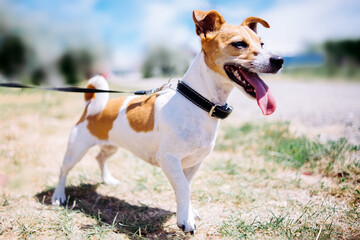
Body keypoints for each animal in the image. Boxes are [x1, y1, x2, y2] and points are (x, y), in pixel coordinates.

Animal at [52, 10, 284, 233]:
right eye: (239, 44)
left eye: (262, 44)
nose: (279, 60)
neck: (198, 102)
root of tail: (91, 107)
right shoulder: (169, 159)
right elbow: (183, 187)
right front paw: (185, 220)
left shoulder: (193, 163)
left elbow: (186, 187)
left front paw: (187, 211)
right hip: (76, 148)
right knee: (63, 170)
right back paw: (58, 196)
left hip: (111, 147)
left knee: (100, 158)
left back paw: (107, 179)